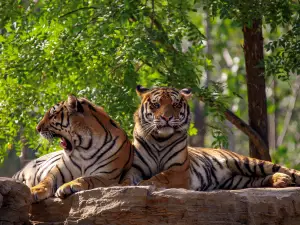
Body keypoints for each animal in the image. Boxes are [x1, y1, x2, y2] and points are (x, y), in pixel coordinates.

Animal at [121, 85, 300, 190]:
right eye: (156, 105)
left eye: (176, 105)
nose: (166, 118)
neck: (160, 139)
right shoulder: (135, 167)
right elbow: (127, 179)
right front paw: (126, 186)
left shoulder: (178, 170)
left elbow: (159, 177)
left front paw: (144, 184)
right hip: (237, 180)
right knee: (258, 180)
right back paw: (280, 180)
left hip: (249, 163)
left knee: (288, 170)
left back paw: (284, 177)